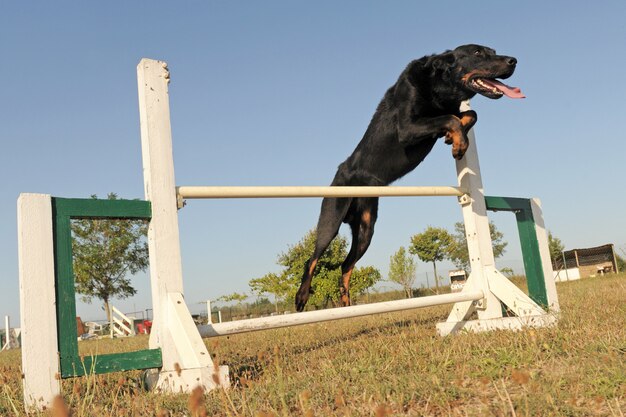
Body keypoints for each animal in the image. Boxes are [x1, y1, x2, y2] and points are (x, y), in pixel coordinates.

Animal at [294, 44, 520, 310]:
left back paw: (346, 301)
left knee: (346, 264)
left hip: (366, 229)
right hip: (332, 216)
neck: (439, 86)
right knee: (312, 258)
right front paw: (458, 144)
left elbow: (468, 115)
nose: (513, 61)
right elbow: (450, 118)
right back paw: (302, 297)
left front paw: (454, 139)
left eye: (493, 51)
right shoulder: (408, 127)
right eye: (477, 53)